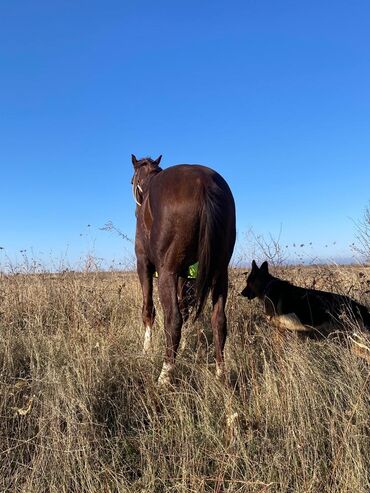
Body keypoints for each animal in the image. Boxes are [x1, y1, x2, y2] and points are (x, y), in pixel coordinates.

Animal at [132, 154, 236, 384]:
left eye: (131, 181)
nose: (136, 211)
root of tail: (204, 184)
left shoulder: (143, 264)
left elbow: (148, 310)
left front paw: (146, 351)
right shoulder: (184, 272)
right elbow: (185, 308)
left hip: (166, 273)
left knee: (173, 321)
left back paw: (165, 375)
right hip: (220, 273)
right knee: (219, 321)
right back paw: (220, 374)